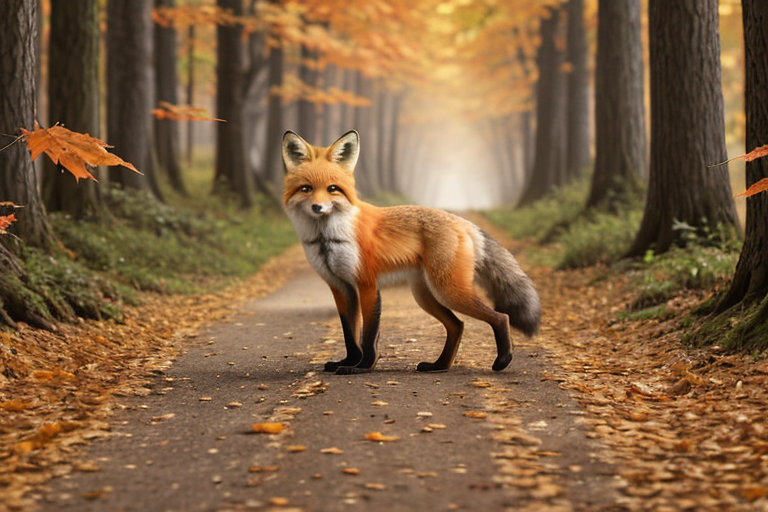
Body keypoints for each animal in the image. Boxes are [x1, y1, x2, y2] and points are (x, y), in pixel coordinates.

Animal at [281, 129, 540, 374]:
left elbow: (369, 335)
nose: (317, 207)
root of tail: (462, 221)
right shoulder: (340, 287)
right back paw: (439, 365)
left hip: (448, 291)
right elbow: (349, 334)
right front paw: (348, 362)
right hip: (425, 296)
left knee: (500, 317)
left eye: (332, 189)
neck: (327, 239)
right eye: (306, 189)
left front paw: (362, 367)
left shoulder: (367, 285)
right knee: (457, 325)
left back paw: (503, 360)